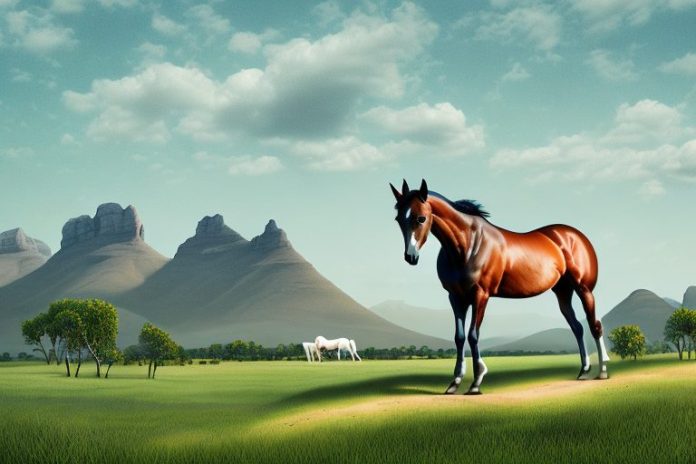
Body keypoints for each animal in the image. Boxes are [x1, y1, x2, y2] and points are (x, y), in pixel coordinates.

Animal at [390, 179, 609, 395]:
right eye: (399, 219)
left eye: (421, 218)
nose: (410, 256)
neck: (468, 245)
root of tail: (576, 236)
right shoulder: (456, 297)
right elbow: (459, 337)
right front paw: (454, 383)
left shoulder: (480, 295)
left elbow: (473, 335)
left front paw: (476, 382)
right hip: (562, 292)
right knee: (578, 328)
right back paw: (583, 370)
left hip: (584, 289)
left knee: (595, 325)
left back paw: (603, 371)